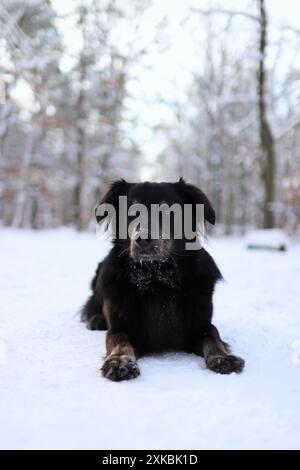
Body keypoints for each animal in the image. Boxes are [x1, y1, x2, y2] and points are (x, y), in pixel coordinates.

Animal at [81, 178, 244, 380]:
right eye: (132, 211)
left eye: (168, 212)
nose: (143, 239)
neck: (157, 278)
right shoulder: (120, 327)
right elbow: (119, 340)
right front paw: (120, 361)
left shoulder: (200, 324)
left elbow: (213, 336)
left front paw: (222, 358)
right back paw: (96, 320)